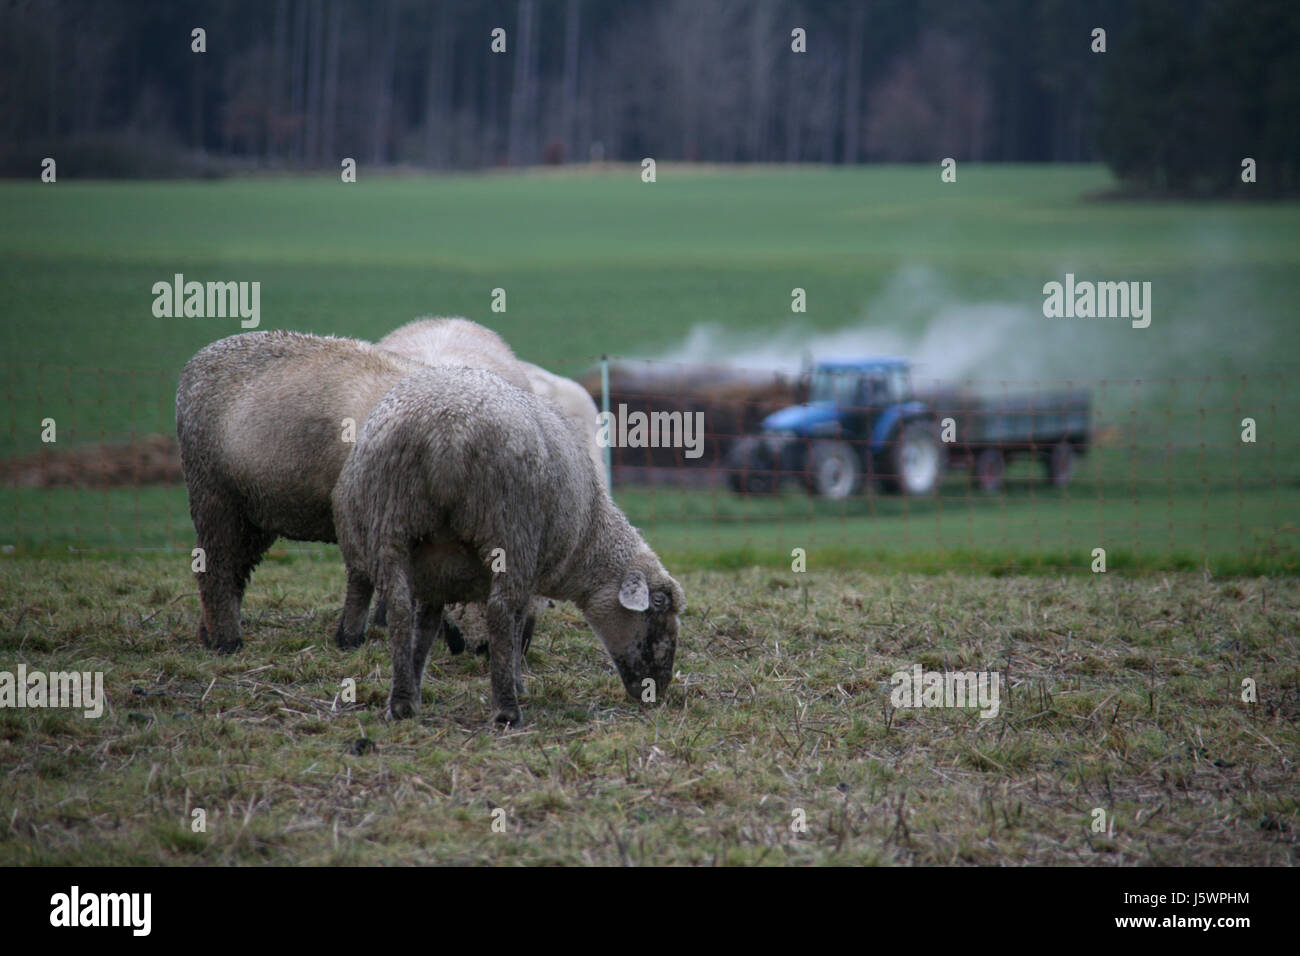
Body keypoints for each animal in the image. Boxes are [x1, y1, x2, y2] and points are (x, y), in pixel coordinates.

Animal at [176, 330, 428, 653]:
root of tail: (197, 362)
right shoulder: (353, 508)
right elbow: (362, 577)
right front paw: (349, 637)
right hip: (214, 494)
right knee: (215, 566)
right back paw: (226, 641)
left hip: (254, 510)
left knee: (236, 568)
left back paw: (209, 634)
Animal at [332, 365, 684, 725]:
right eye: (658, 603)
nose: (658, 689)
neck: (589, 538)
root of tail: (447, 432)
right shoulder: (529, 571)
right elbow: (516, 627)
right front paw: (517, 684)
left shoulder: (433, 577)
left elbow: (425, 628)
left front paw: (415, 687)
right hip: (509, 530)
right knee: (499, 612)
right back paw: (507, 709)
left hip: (388, 524)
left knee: (400, 607)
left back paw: (402, 702)